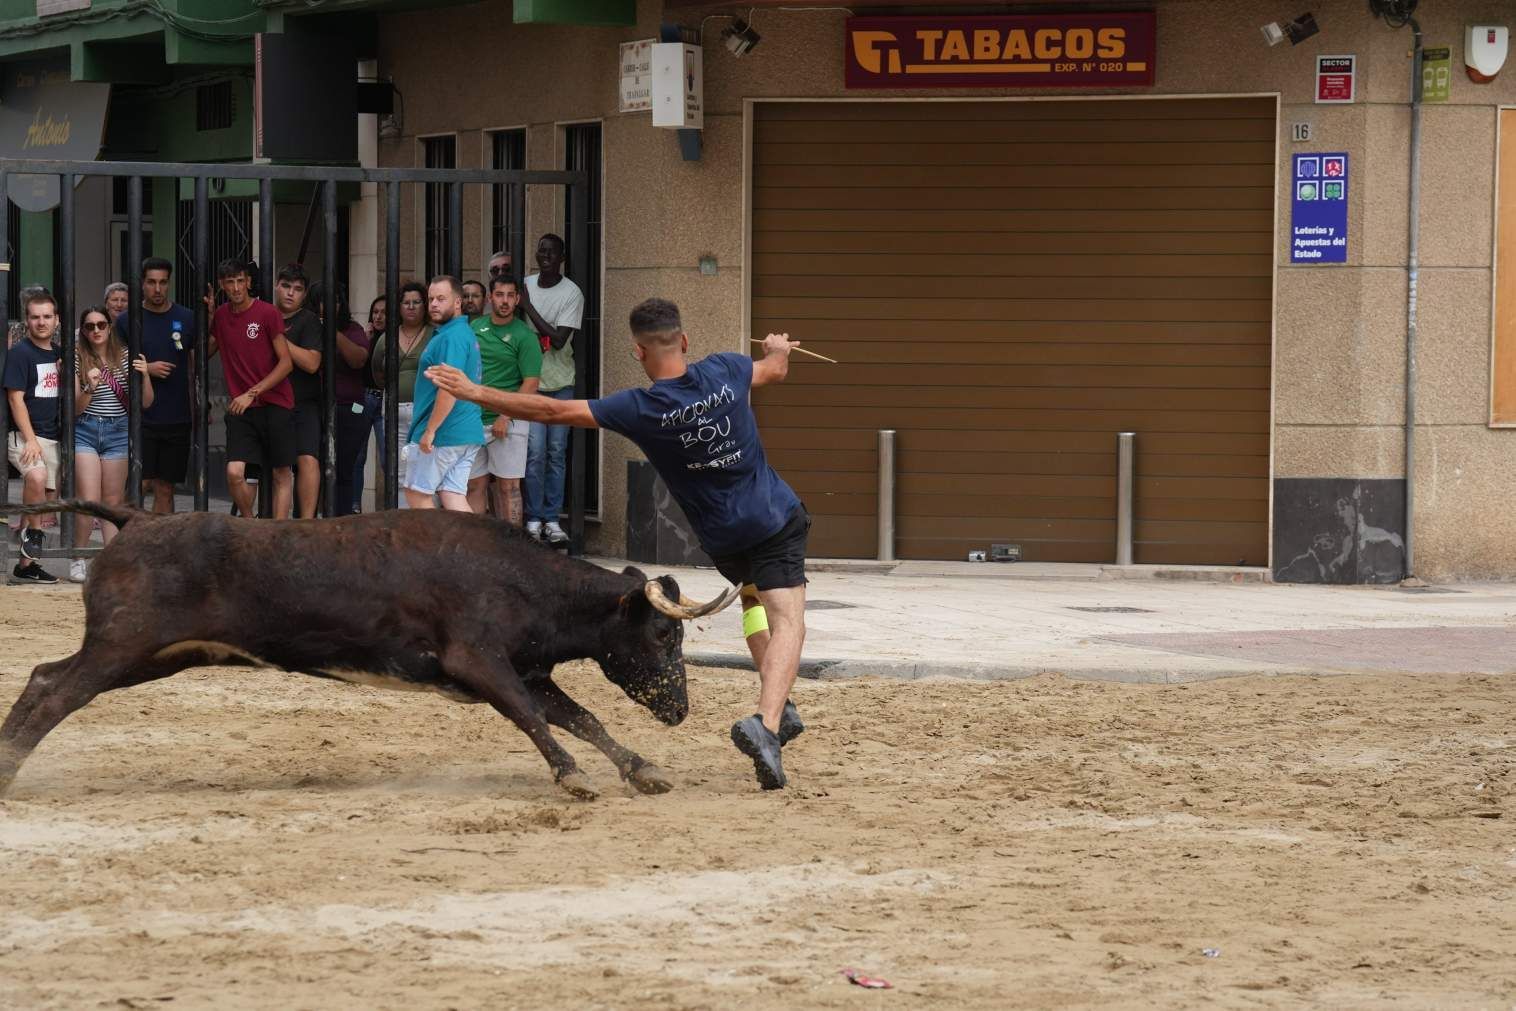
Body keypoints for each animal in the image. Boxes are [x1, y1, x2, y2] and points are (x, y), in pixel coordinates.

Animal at [0, 503, 736, 800]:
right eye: (665, 634)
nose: (679, 710)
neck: (524, 577)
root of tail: (137, 518)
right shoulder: (480, 663)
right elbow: (536, 718)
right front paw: (573, 778)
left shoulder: (525, 669)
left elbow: (580, 716)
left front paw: (643, 769)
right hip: (123, 645)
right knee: (53, 689)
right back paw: (9, 772)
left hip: (154, 655)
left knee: (42, 677)